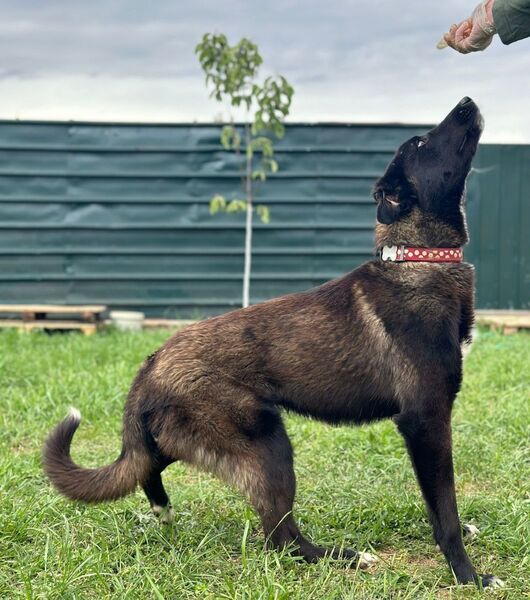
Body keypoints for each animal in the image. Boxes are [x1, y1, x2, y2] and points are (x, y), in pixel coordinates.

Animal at [44, 97, 503, 589]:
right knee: (280, 538)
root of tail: (153, 361)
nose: (466, 102)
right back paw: (344, 556)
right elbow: (445, 510)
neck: (418, 260)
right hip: (269, 445)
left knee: (148, 462)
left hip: (195, 437)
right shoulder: (425, 419)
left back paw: (162, 509)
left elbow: (440, 506)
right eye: (420, 143)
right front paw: (468, 575)